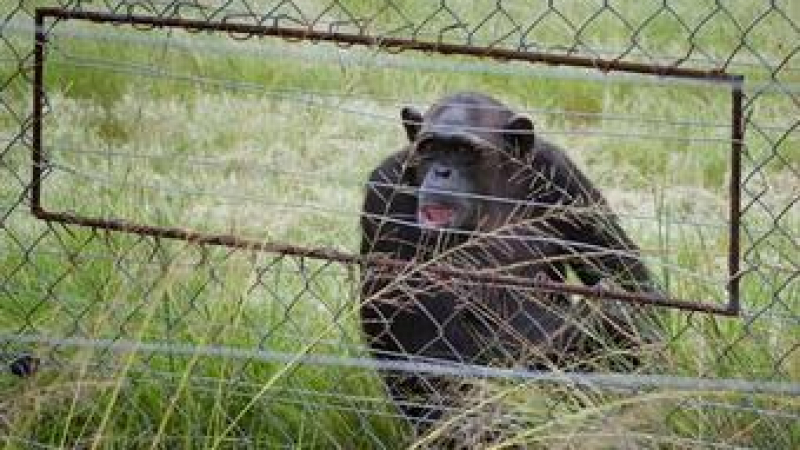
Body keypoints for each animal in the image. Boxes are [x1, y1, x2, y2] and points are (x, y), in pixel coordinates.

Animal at [360, 92, 660, 432]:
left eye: (463, 151)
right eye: (429, 147)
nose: (441, 172)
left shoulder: (561, 175)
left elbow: (624, 272)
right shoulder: (386, 191)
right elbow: (425, 336)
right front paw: (596, 322)